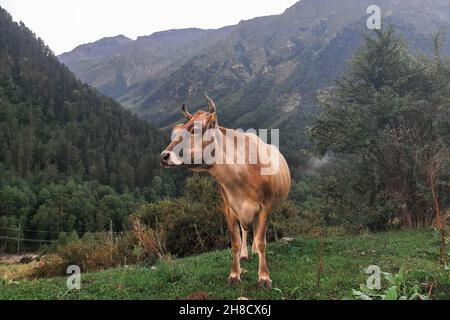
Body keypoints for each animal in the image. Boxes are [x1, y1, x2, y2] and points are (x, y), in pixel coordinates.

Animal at [162, 95, 292, 288]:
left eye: (196, 129)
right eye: (176, 131)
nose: (164, 156)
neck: (240, 176)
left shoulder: (266, 208)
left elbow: (262, 241)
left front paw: (264, 277)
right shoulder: (229, 208)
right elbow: (235, 242)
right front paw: (234, 275)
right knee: (246, 229)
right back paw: (245, 254)